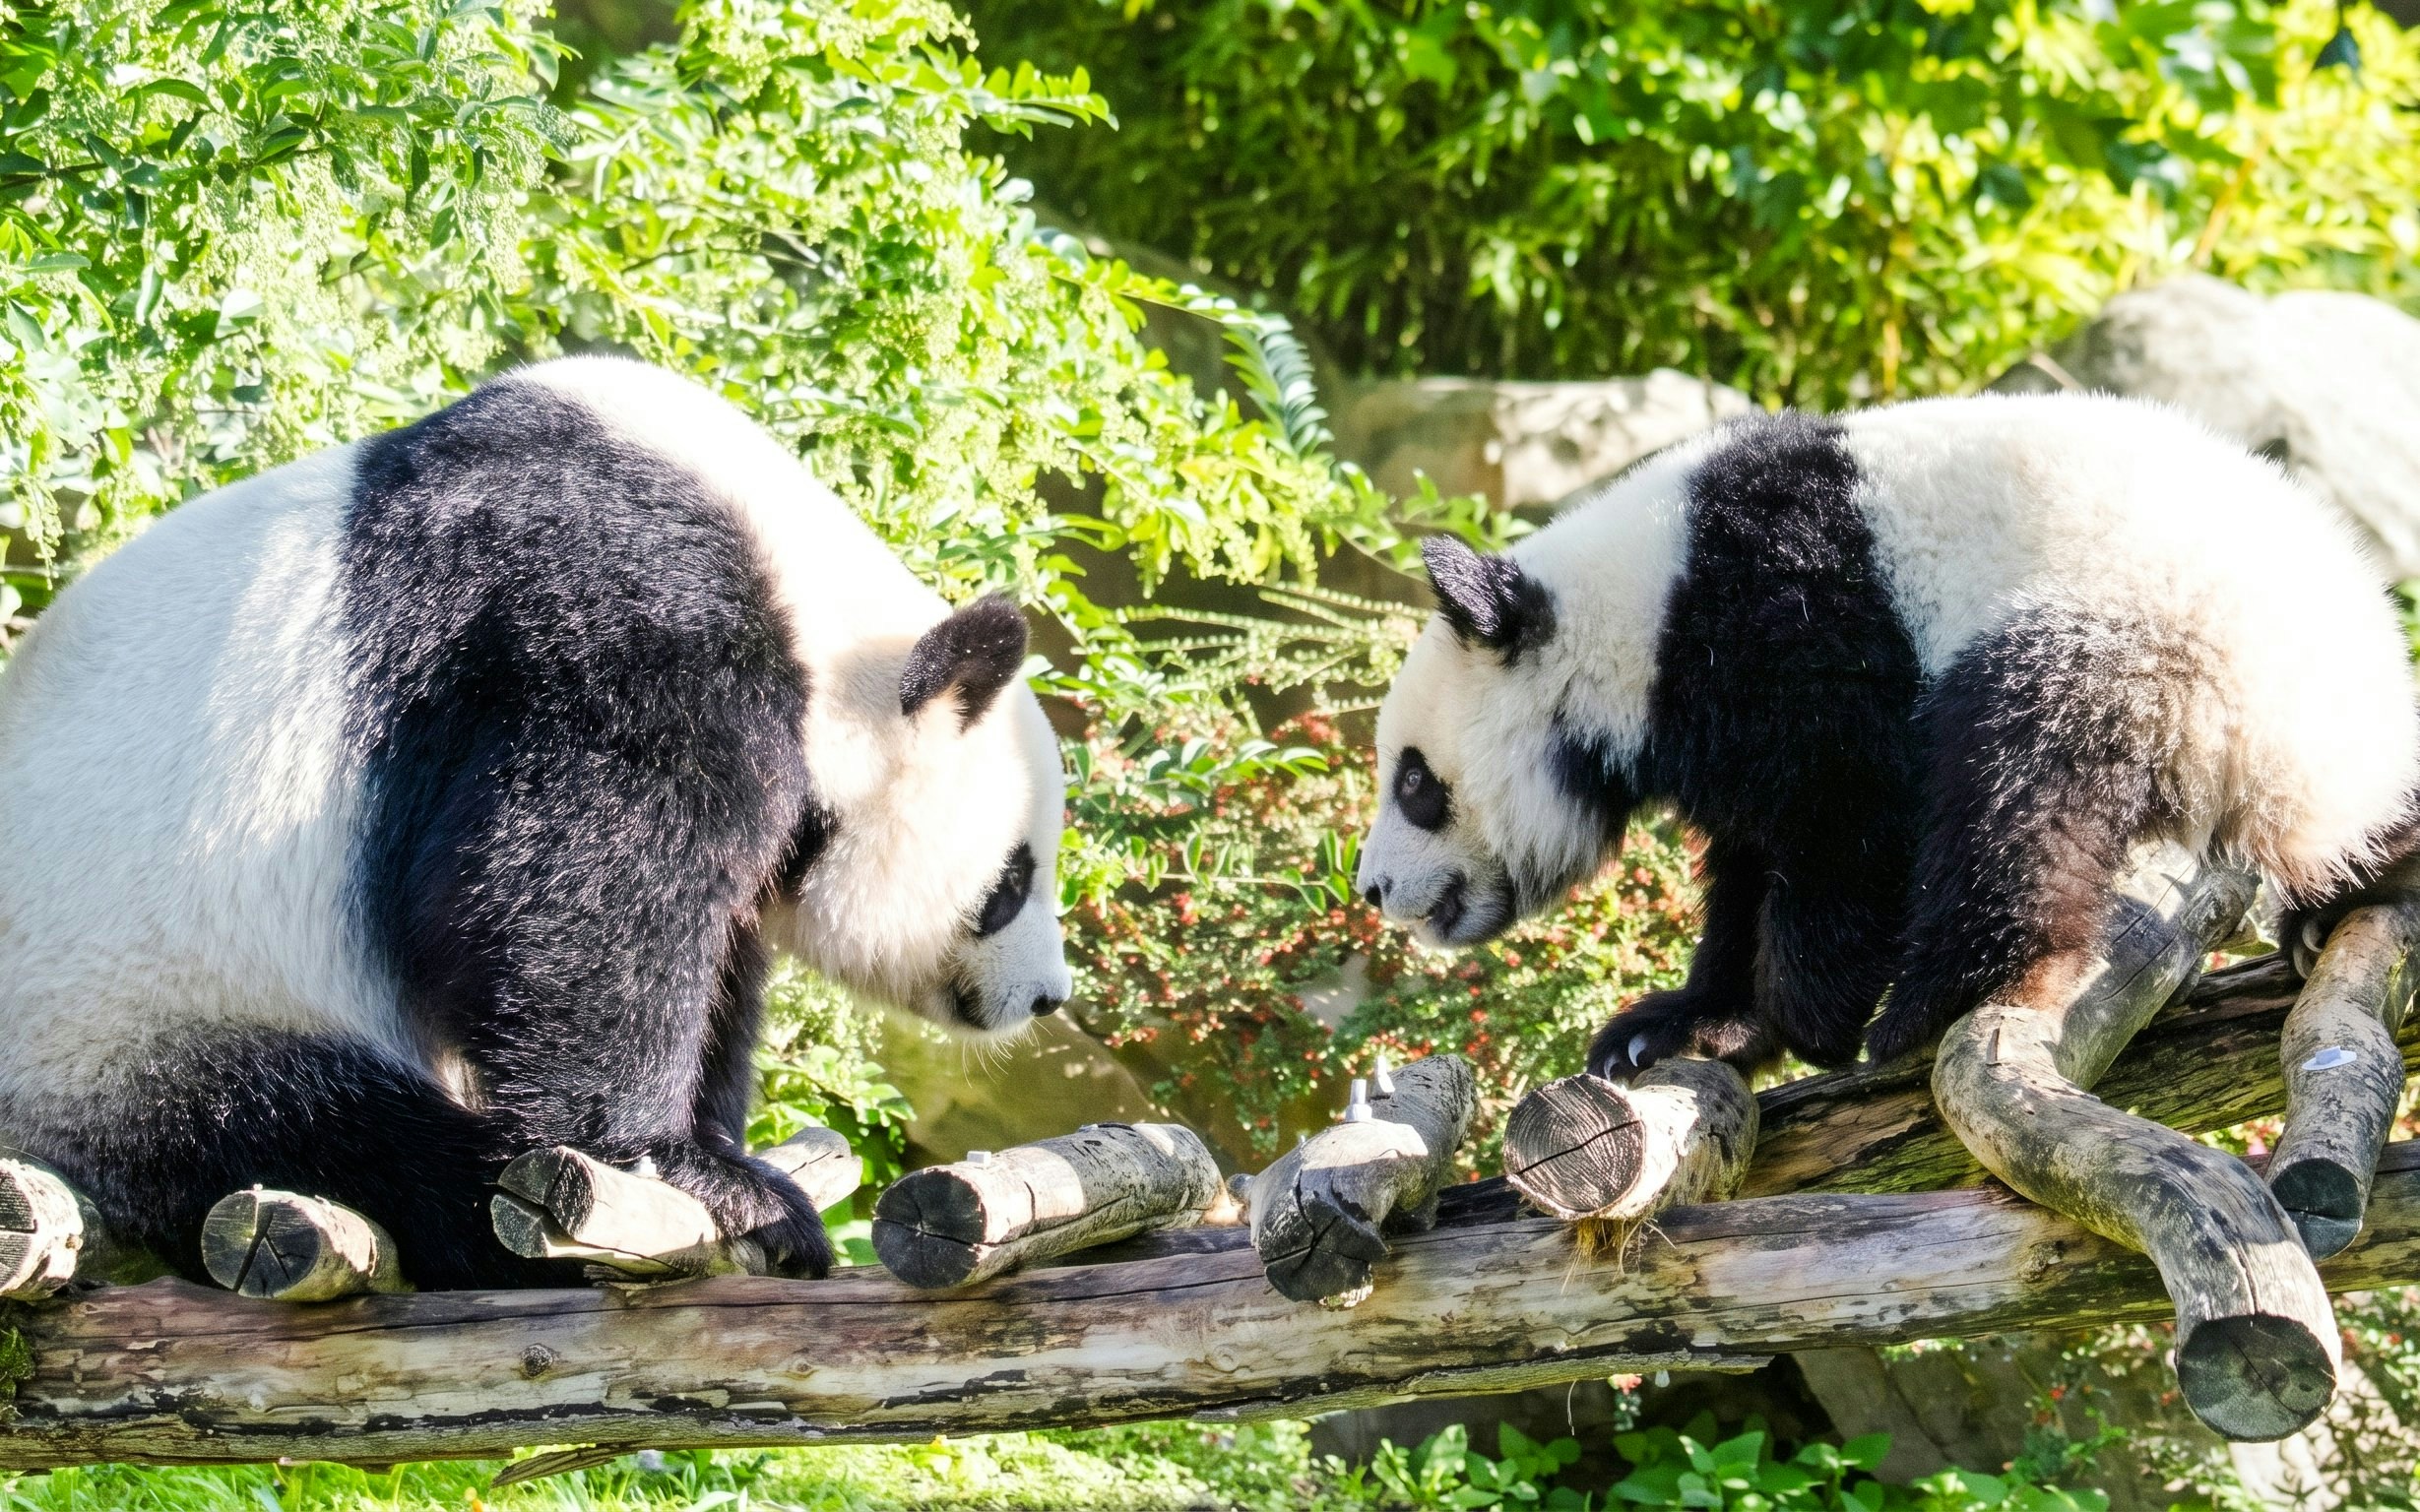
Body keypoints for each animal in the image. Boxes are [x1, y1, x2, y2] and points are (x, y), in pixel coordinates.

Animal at [0, 357, 1073, 1288]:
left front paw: (719, 1146)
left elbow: (710, 958)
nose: (1045, 997)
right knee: (315, 1133)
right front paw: (704, 1178)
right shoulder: (621, 615)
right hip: (136, 1011)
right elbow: (566, 899)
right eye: (1011, 881)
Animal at [1355, 394, 2420, 1080]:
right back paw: (2365, 886)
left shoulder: (1799, 628)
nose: (1371, 889)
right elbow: (1750, 863)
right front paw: (1676, 1029)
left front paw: (1803, 1018)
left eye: (1413, 782)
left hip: (2137, 636)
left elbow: (1846, 830)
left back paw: (1929, 1005)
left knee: (2017, 790)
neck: (1644, 610)